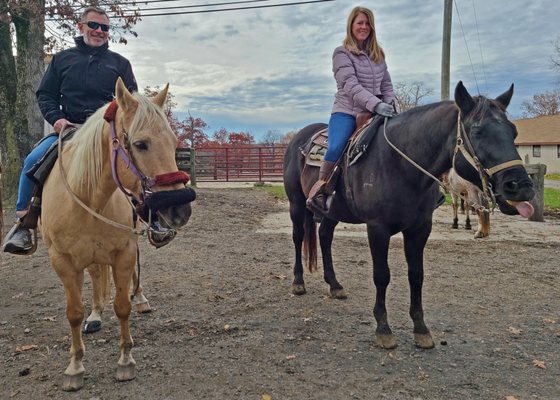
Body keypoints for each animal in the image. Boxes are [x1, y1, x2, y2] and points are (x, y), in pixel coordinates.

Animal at [38, 79, 194, 390]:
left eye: (173, 143)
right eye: (140, 144)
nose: (180, 209)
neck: (88, 198)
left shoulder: (124, 252)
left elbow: (123, 306)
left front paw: (125, 361)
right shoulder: (62, 261)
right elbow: (74, 313)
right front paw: (75, 367)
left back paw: (141, 300)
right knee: (95, 278)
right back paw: (95, 314)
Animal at [284, 82, 532, 350]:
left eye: (513, 131)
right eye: (477, 131)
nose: (520, 186)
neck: (400, 164)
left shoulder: (420, 228)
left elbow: (416, 275)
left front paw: (421, 329)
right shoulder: (377, 228)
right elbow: (381, 275)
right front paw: (383, 328)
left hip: (332, 212)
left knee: (325, 237)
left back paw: (335, 285)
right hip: (296, 204)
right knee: (298, 237)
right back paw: (298, 282)